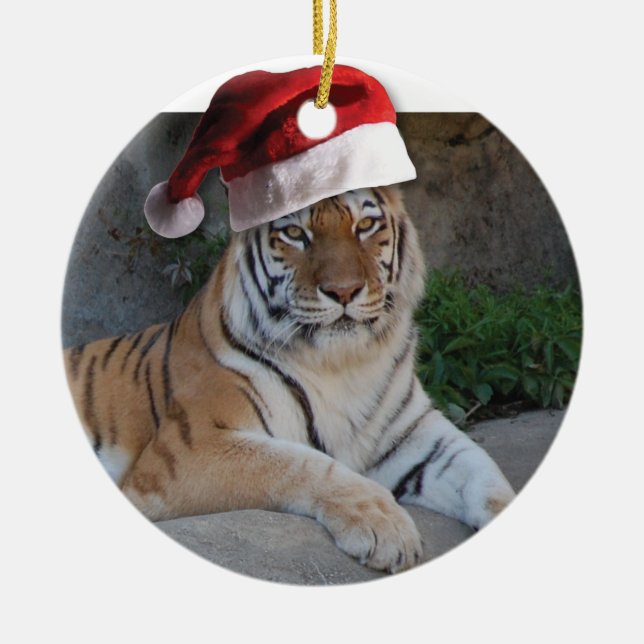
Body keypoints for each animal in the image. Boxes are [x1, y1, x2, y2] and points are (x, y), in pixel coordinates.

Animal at [64, 185, 515, 574]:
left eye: (366, 225)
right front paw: (385, 526)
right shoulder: (188, 450)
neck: (345, 363)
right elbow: (301, 464)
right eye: (295, 233)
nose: (343, 291)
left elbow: (483, 469)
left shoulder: (415, 434)